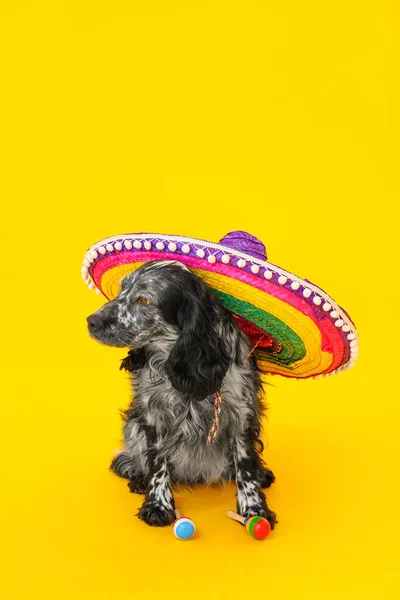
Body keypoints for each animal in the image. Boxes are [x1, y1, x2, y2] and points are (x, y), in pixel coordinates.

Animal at [86, 260, 276, 528]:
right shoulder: (153, 414)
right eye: (122, 289)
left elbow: (246, 465)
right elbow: (157, 463)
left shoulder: (242, 413)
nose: (91, 321)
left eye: (143, 300)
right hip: (133, 424)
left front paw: (254, 508)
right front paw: (157, 505)